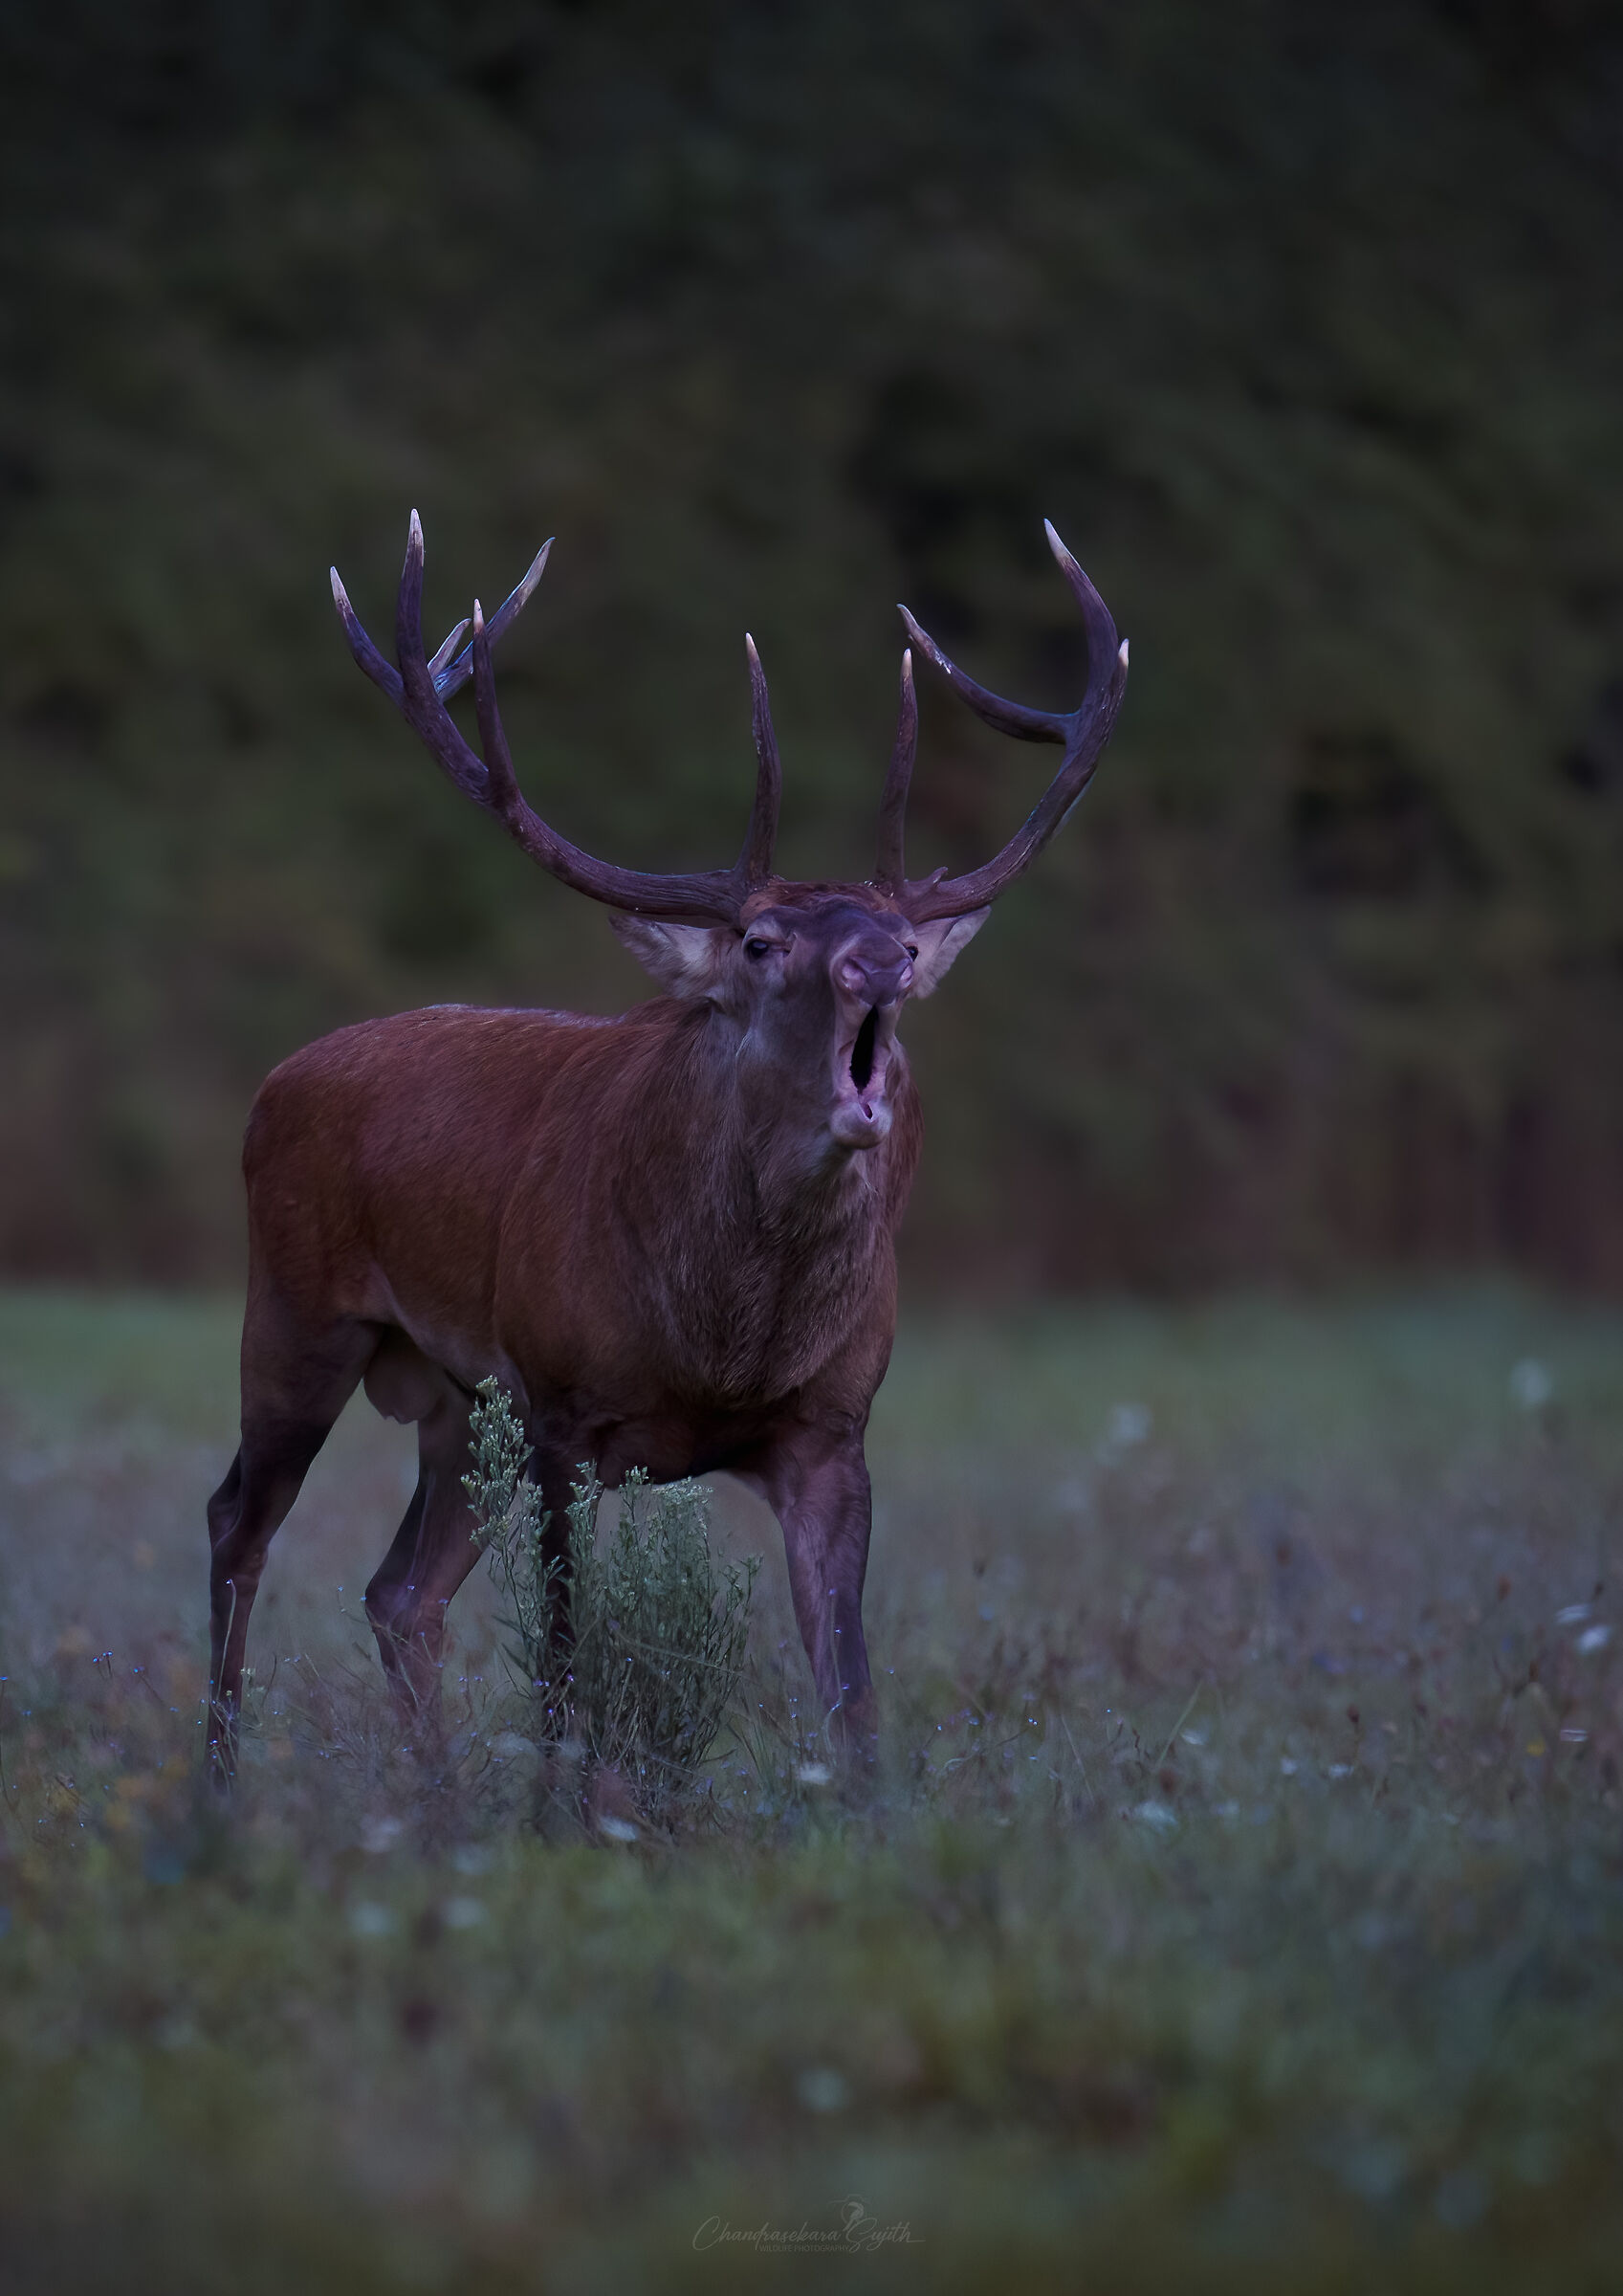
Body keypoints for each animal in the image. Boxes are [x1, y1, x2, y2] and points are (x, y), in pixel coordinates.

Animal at [205, 511, 1127, 1777]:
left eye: (901, 937)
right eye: (759, 941)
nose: (877, 967)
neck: (720, 1343)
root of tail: (277, 1080)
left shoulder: (833, 1428)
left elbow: (853, 1702)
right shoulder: (558, 1404)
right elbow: (563, 1673)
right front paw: (559, 1810)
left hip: (455, 1401)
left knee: (399, 1593)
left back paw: (429, 1800)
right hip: (298, 1312)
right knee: (239, 1524)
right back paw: (216, 1786)